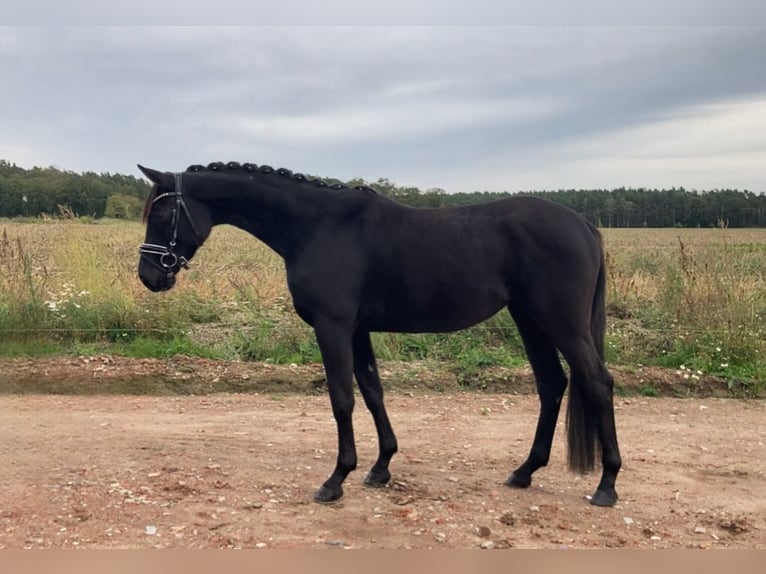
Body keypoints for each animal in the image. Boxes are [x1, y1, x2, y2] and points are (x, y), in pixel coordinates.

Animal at [135, 162, 620, 508]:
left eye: (162, 211)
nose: (149, 276)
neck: (317, 225)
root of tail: (584, 225)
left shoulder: (333, 327)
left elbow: (341, 398)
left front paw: (336, 479)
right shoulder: (358, 331)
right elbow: (372, 392)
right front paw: (381, 467)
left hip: (561, 323)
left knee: (597, 383)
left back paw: (607, 484)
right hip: (529, 319)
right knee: (552, 384)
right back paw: (524, 472)